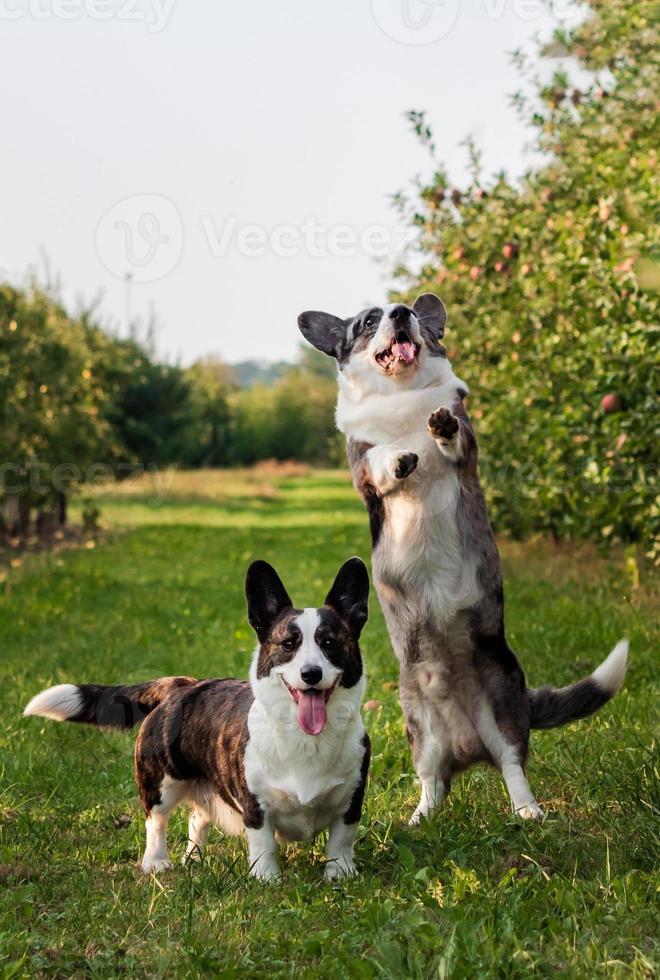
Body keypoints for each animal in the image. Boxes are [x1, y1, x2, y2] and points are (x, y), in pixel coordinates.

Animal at [24, 560, 372, 880]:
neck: (306, 740)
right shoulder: (255, 805)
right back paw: (156, 861)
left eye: (330, 643)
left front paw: (339, 874)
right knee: (156, 820)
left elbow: (340, 841)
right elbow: (263, 844)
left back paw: (193, 858)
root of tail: (182, 684)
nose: (311, 674)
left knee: (197, 817)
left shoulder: (351, 802)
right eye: (289, 644)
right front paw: (267, 879)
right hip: (162, 781)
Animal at [300, 294, 628, 824]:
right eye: (368, 321)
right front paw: (400, 458)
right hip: (421, 726)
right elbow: (381, 458)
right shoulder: (363, 468)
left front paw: (440, 426)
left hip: (500, 710)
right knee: (433, 781)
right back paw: (420, 818)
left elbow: (453, 437)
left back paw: (529, 812)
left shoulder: (467, 449)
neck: (400, 396)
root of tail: (469, 747)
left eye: (411, 311)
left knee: (513, 767)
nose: (401, 313)